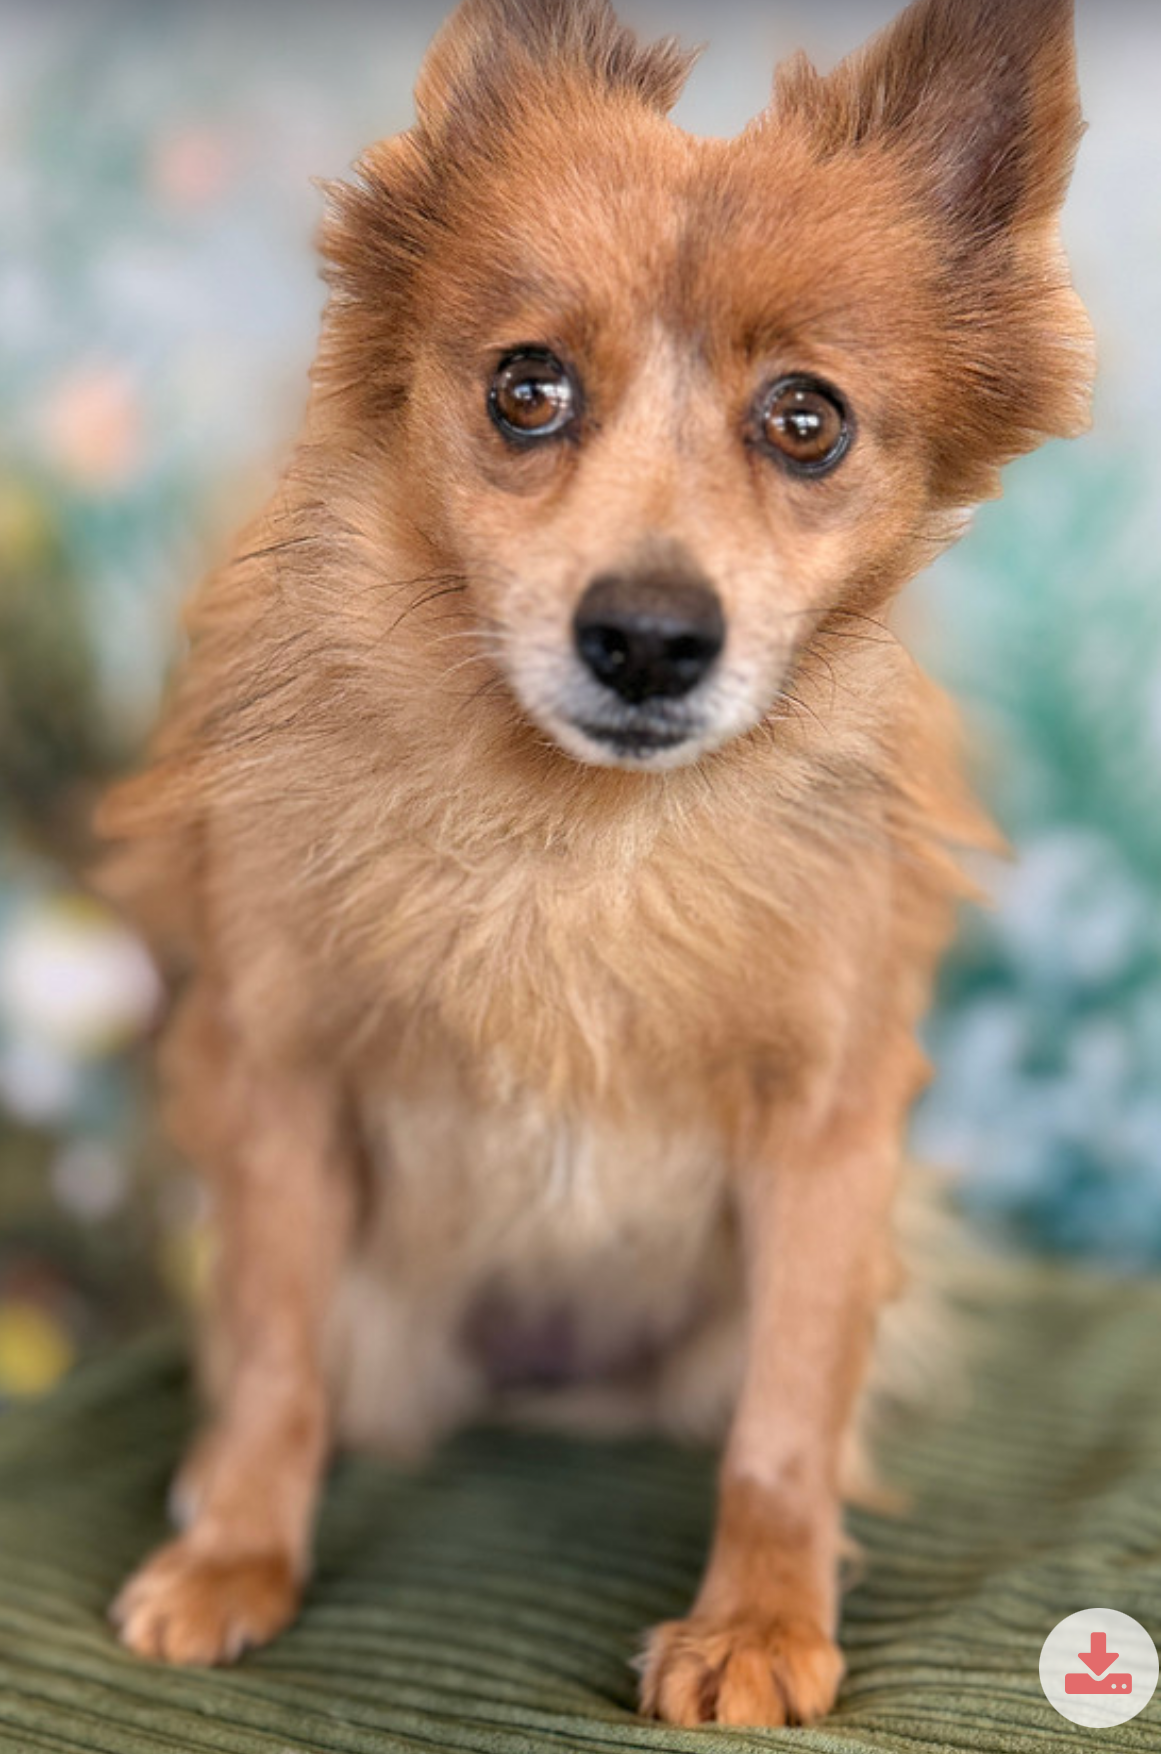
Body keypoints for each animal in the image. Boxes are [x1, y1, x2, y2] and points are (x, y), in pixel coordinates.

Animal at [99, 0, 1093, 1727]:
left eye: (807, 421)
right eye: (527, 388)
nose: (645, 636)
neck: (583, 838)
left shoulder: (827, 1129)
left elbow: (785, 1416)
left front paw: (758, 1621)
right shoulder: (277, 1078)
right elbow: (275, 1352)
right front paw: (235, 1554)